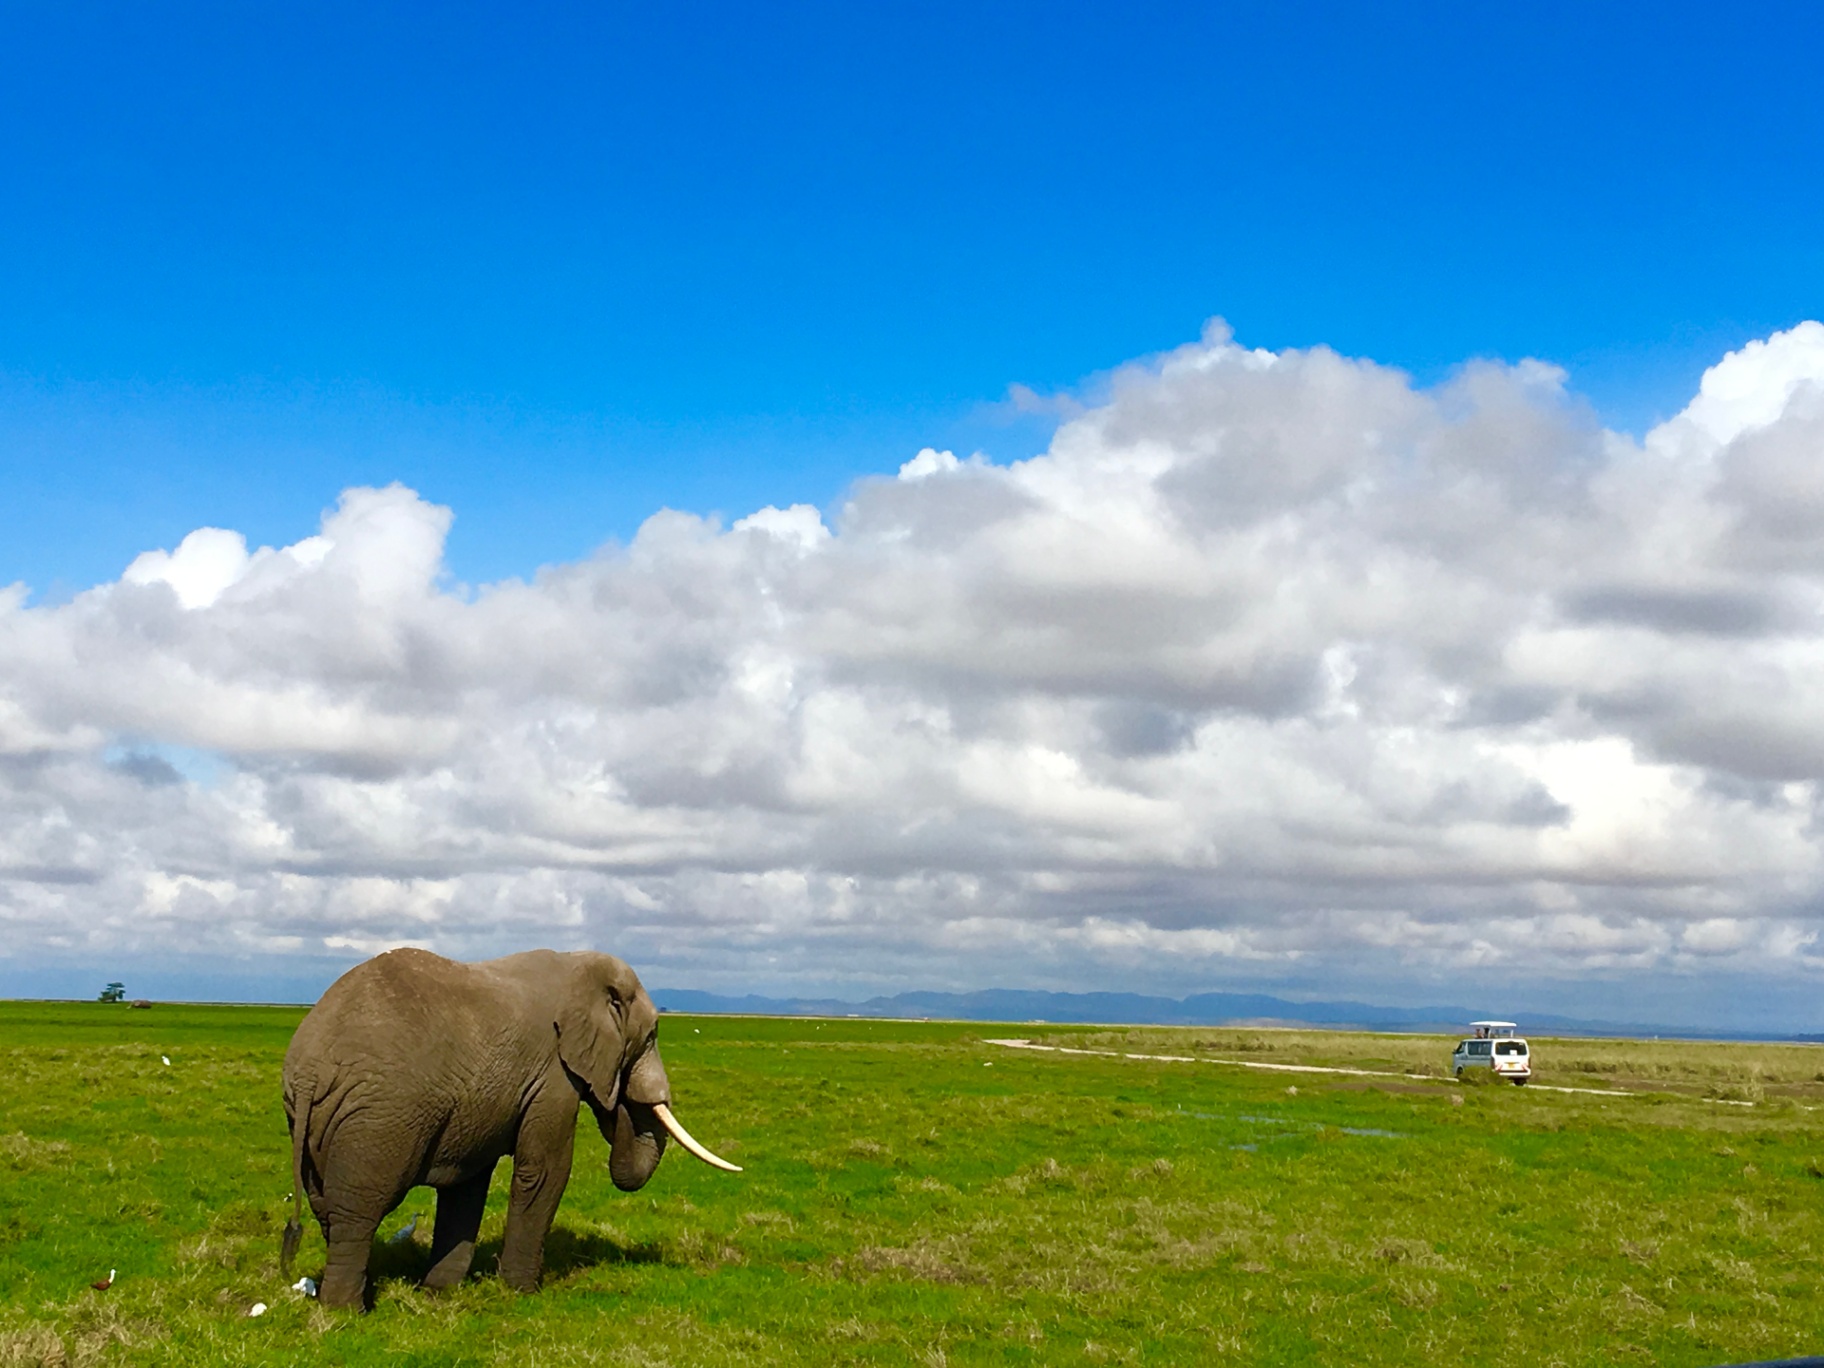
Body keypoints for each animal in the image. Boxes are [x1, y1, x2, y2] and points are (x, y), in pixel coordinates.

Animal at [279, 947, 739, 1308]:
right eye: (651, 1035)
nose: (621, 1097)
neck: (577, 964)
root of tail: (309, 1072)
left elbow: (467, 1184)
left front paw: (439, 1293)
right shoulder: (553, 1073)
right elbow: (546, 1171)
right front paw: (521, 1293)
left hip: (317, 1122)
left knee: (327, 1207)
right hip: (380, 1117)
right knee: (360, 1208)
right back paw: (346, 1311)